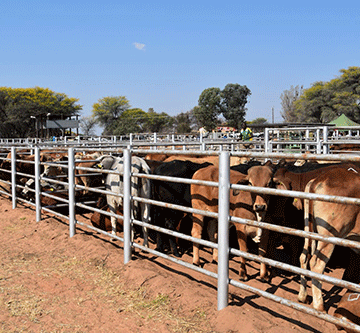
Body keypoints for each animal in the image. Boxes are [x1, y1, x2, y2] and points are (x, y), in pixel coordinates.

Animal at [296, 169, 360, 312]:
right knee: (316, 264)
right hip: (330, 234)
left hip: (308, 228)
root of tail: (319, 179)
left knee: (304, 257)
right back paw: (319, 306)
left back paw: (303, 296)